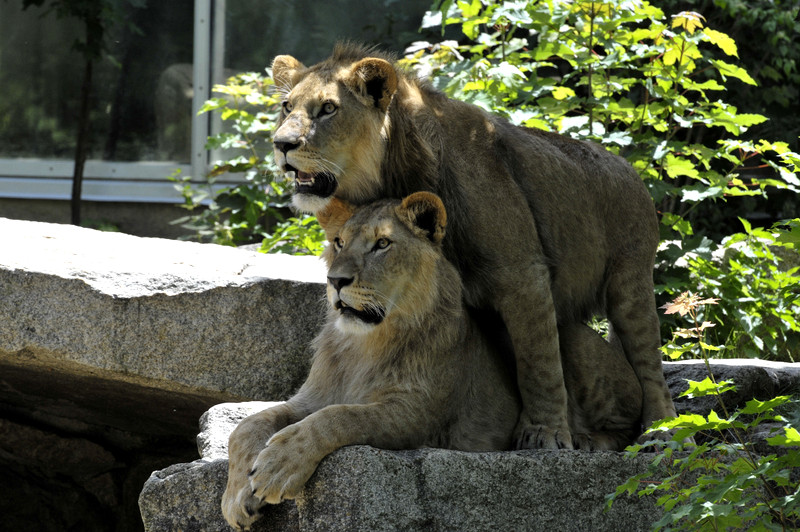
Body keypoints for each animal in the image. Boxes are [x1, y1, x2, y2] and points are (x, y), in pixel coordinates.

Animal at [220, 191, 644, 528]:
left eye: (382, 244)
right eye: (338, 242)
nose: (335, 281)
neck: (365, 345)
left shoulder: (416, 415)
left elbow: (340, 417)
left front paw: (277, 467)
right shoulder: (310, 399)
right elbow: (247, 425)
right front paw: (238, 498)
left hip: (570, 338)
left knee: (630, 425)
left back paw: (587, 441)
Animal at [270, 42, 680, 448]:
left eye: (328, 108)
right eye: (287, 106)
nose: (281, 144)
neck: (396, 172)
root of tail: (631, 169)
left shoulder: (524, 275)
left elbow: (539, 361)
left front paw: (544, 433)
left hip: (631, 282)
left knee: (649, 367)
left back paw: (660, 432)